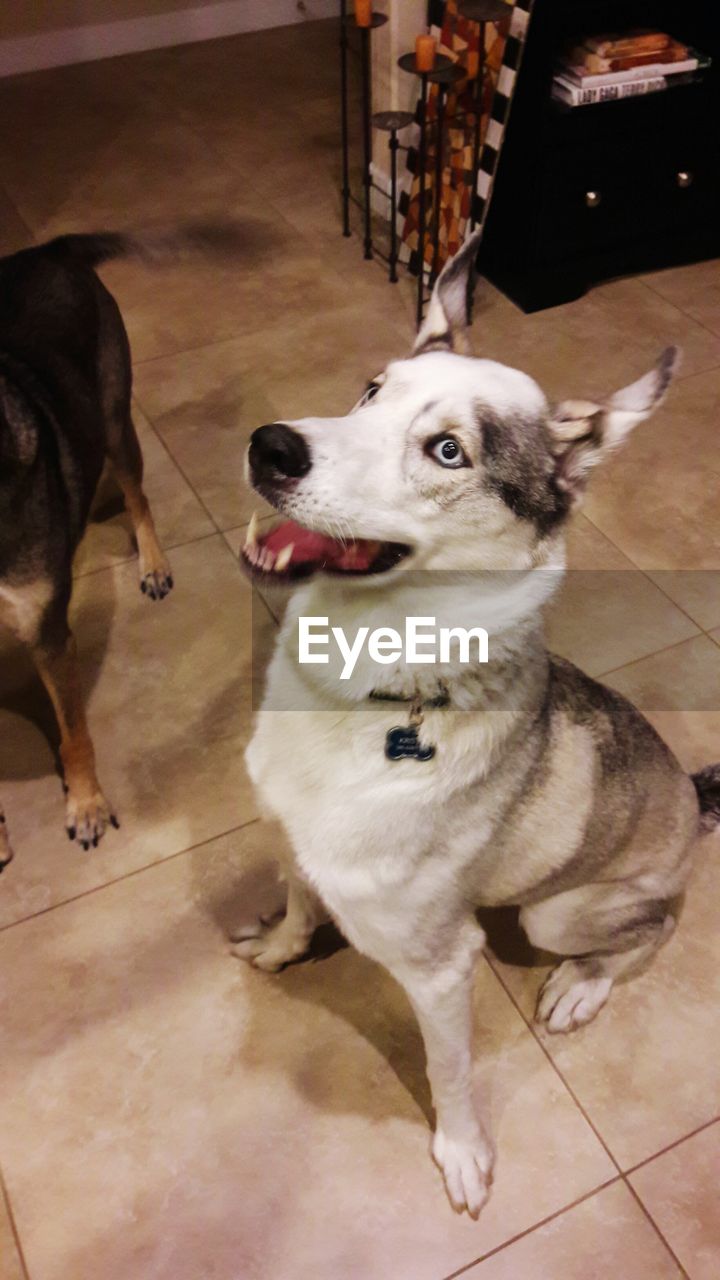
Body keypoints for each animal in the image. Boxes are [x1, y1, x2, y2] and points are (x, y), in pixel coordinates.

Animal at [237, 230, 717, 1218]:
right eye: (370, 390)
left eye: (448, 451)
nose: (270, 445)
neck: (362, 693)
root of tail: (696, 804)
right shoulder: (292, 840)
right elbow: (300, 900)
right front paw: (280, 945)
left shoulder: (440, 966)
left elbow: (449, 1071)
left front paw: (461, 1151)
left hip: (558, 913)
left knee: (653, 928)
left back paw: (581, 989)